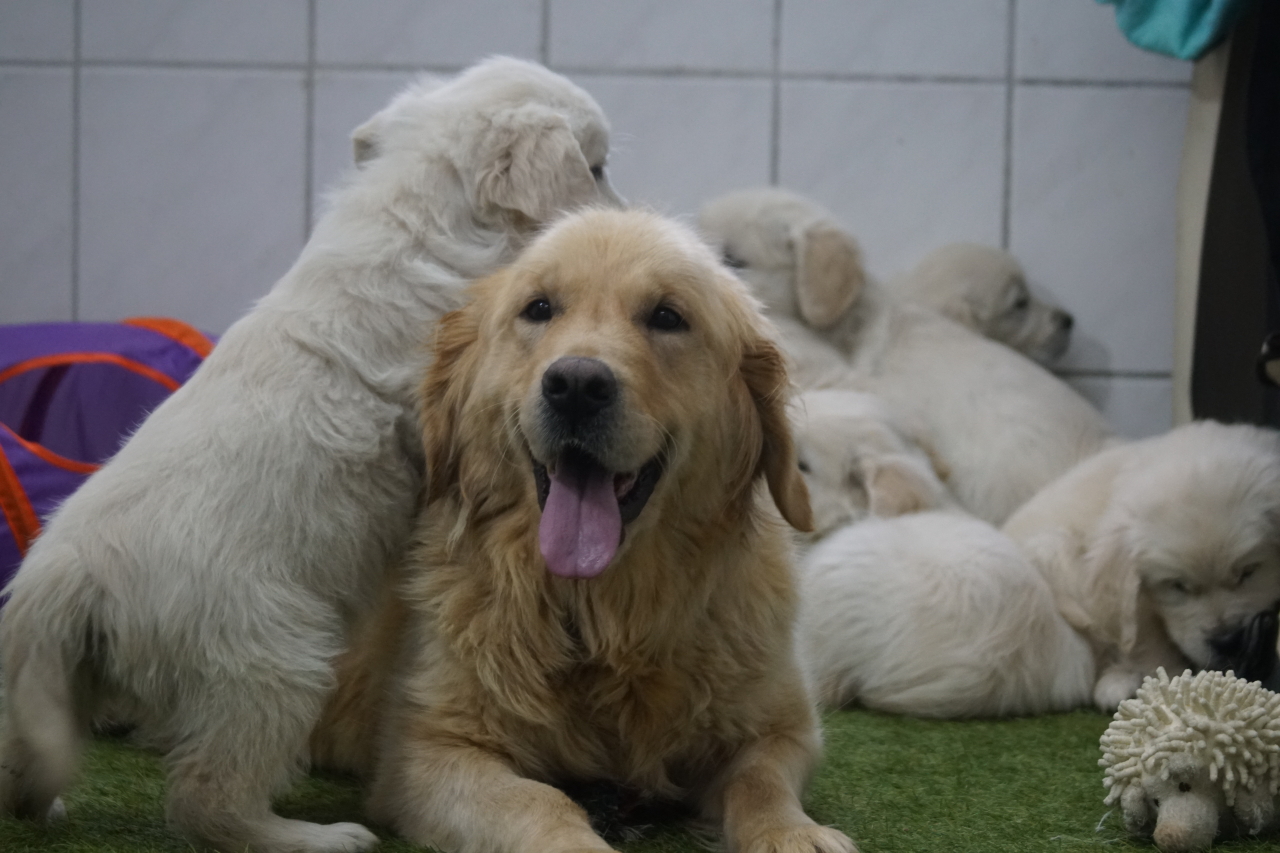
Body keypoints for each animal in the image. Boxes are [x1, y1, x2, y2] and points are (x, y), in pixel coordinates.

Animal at [0, 57, 620, 853]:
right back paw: (316, 836)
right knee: (207, 797)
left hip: (60, 673)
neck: (419, 210)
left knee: (30, 754)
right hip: (274, 656)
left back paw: (40, 805)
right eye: (596, 167)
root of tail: (65, 575)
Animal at [348, 208, 855, 853]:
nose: (576, 385)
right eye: (539, 308)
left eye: (667, 316)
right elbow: (541, 800)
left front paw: (793, 833)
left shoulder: (784, 727)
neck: (606, 618)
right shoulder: (427, 753)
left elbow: (759, 781)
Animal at [1003, 420, 1280, 711]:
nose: (1227, 641)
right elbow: (1146, 639)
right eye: (1177, 585)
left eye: (1249, 571)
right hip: (1051, 549)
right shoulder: (1132, 595)